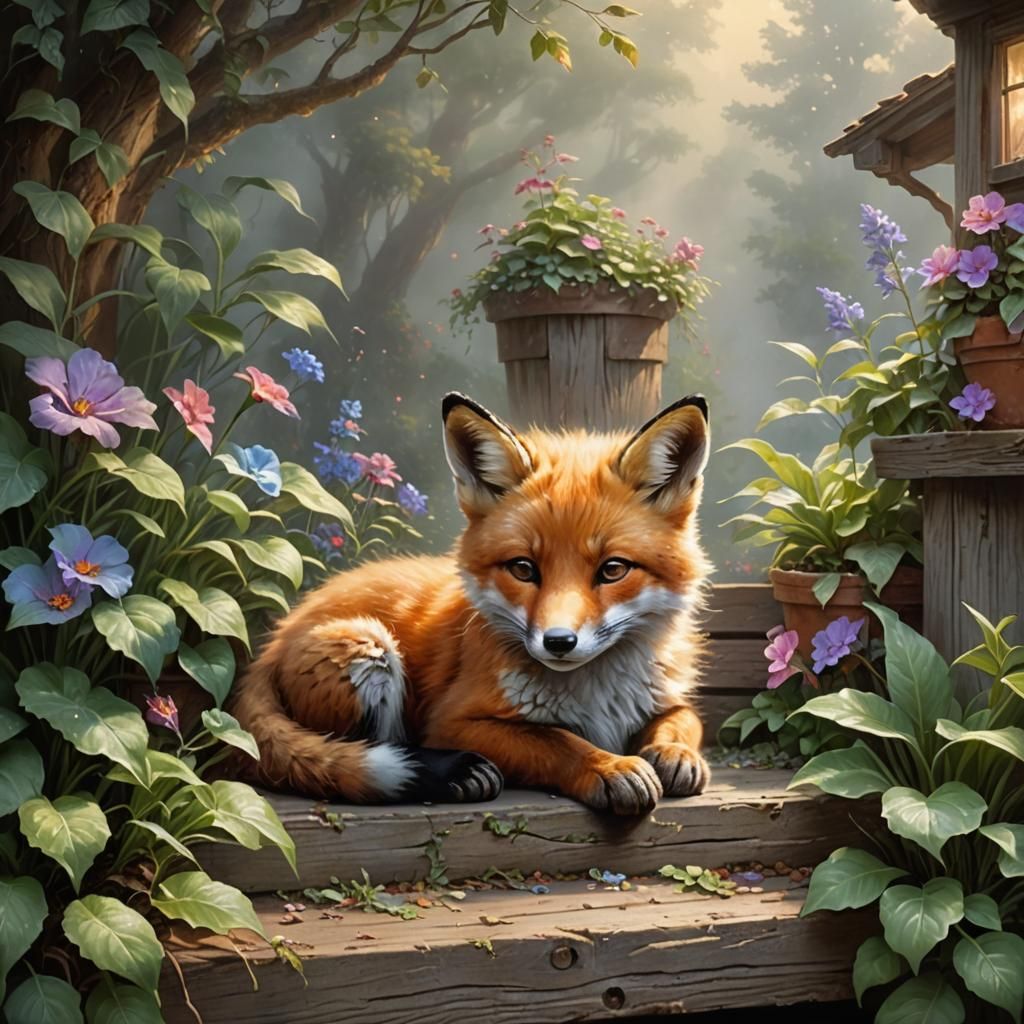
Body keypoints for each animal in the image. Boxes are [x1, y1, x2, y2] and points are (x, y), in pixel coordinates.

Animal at [230, 391, 712, 816]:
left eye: (612, 570)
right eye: (523, 568)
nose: (558, 642)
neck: (599, 695)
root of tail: (276, 637)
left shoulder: (663, 697)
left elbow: (686, 719)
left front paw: (673, 752)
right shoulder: (452, 722)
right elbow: (555, 740)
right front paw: (606, 765)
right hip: (368, 647)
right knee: (367, 749)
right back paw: (455, 776)